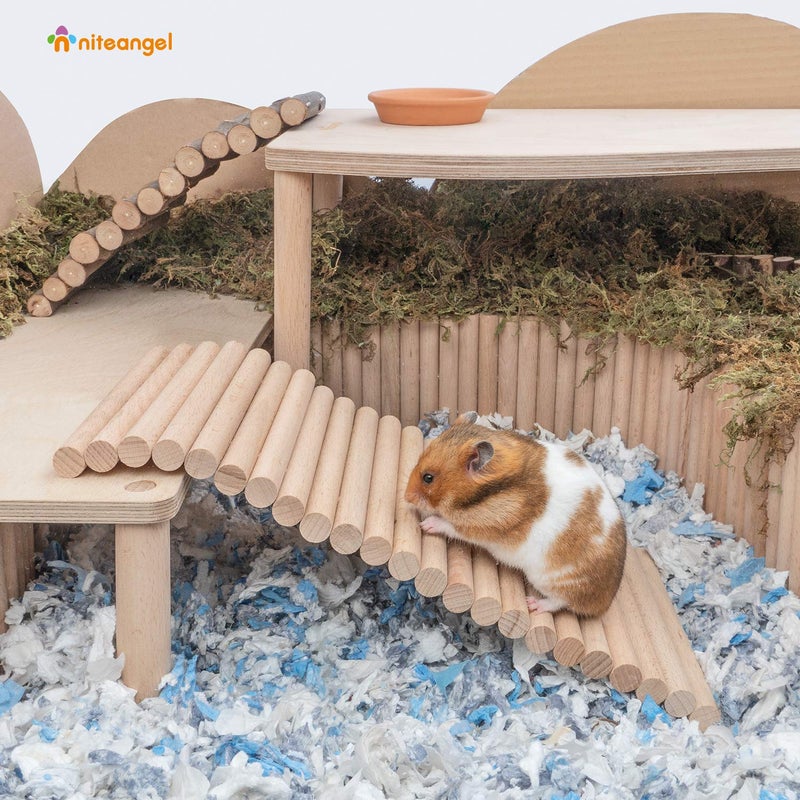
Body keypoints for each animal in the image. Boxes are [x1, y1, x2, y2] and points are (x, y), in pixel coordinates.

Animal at [404, 413, 627, 617]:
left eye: (428, 478)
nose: (406, 497)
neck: (483, 494)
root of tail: (607, 599)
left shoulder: (480, 527)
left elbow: (450, 526)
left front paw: (426, 524)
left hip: (554, 580)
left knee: (560, 602)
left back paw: (533, 604)